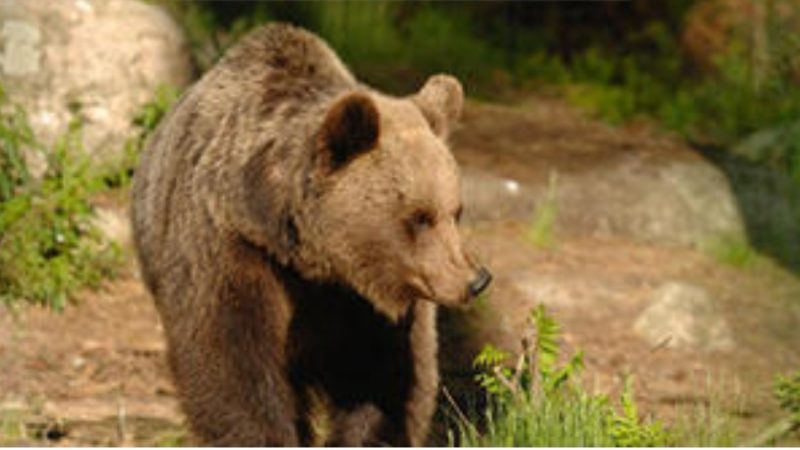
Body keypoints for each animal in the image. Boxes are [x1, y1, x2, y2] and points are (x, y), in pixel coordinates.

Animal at [131, 23, 491, 446]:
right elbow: (230, 364)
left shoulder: (366, 302)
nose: (475, 280)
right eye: (420, 217)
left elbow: (385, 376)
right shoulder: (228, 246)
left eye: (456, 211)